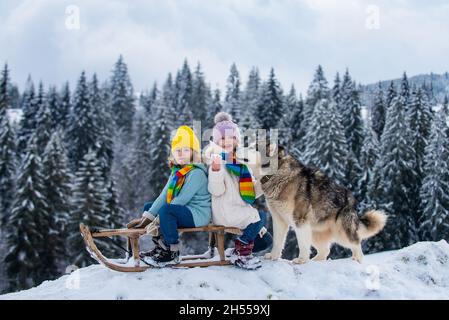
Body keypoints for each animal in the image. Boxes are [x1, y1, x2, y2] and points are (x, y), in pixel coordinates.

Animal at [250, 144, 386, 264]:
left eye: (252, 147)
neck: (276, 174)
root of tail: (352, 204)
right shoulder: (279, 220)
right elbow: (278, 242)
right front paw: (273, 256)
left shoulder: (300, 221)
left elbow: (302, 244)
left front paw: (301, 260)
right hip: (315, 233)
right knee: (325, 251)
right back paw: (315, 261)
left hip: (341, 234)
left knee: (357, 246)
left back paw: (356, 260)